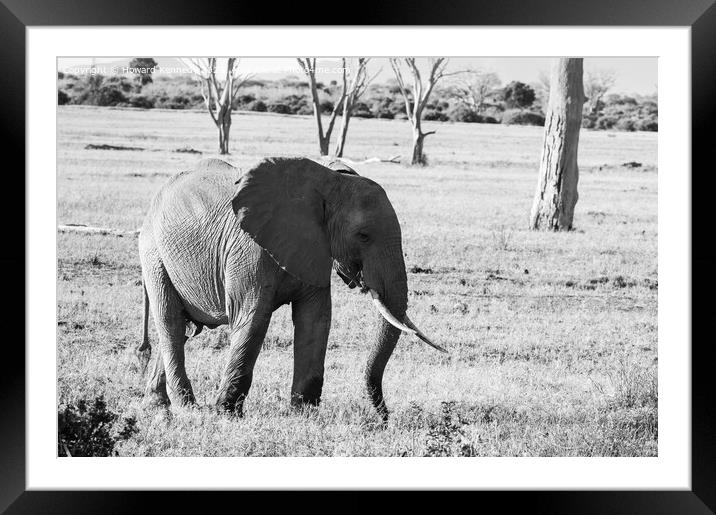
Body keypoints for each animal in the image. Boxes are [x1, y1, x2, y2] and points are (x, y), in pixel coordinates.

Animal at [136, 157, 442, 424]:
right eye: (363, 236)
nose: (385, 418)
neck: (328, 181)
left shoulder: (315, 250)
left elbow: (315, 321)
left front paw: (304, 414)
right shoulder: (250, 251)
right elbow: (252, 319)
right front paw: (225, 414)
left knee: (183, 330)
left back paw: (156, 406)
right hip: (154, 252)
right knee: (170, 321)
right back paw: (187, 409)